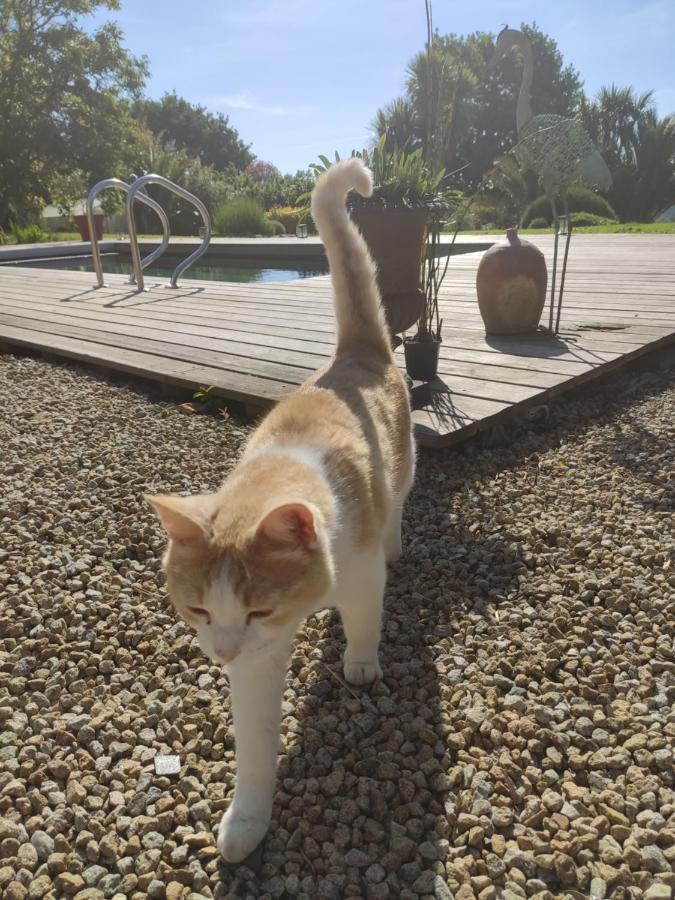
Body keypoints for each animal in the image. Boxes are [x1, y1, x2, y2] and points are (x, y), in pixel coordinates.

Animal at [146, 158, 414, 860]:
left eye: (259, 608)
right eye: (198, 610)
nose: (221, 655)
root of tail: (353, 355)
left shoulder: (357, 571)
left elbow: (367, 615)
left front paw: (361, 662)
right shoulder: (256, 661)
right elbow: (257, 743)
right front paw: (247, 822)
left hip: (403, 464)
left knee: (400, 503)